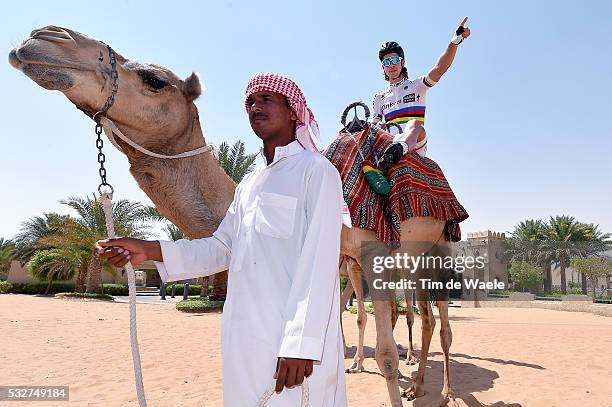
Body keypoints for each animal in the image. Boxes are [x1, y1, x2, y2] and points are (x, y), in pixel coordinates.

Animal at [8, 24, 464, 404]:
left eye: (154, 80)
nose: (43, 38)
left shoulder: (371, 251)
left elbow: (385, 354)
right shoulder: (342, 258)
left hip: (438, 245)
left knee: (438, 323)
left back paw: (440, 391)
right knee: (419, 316)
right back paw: (413, 382)